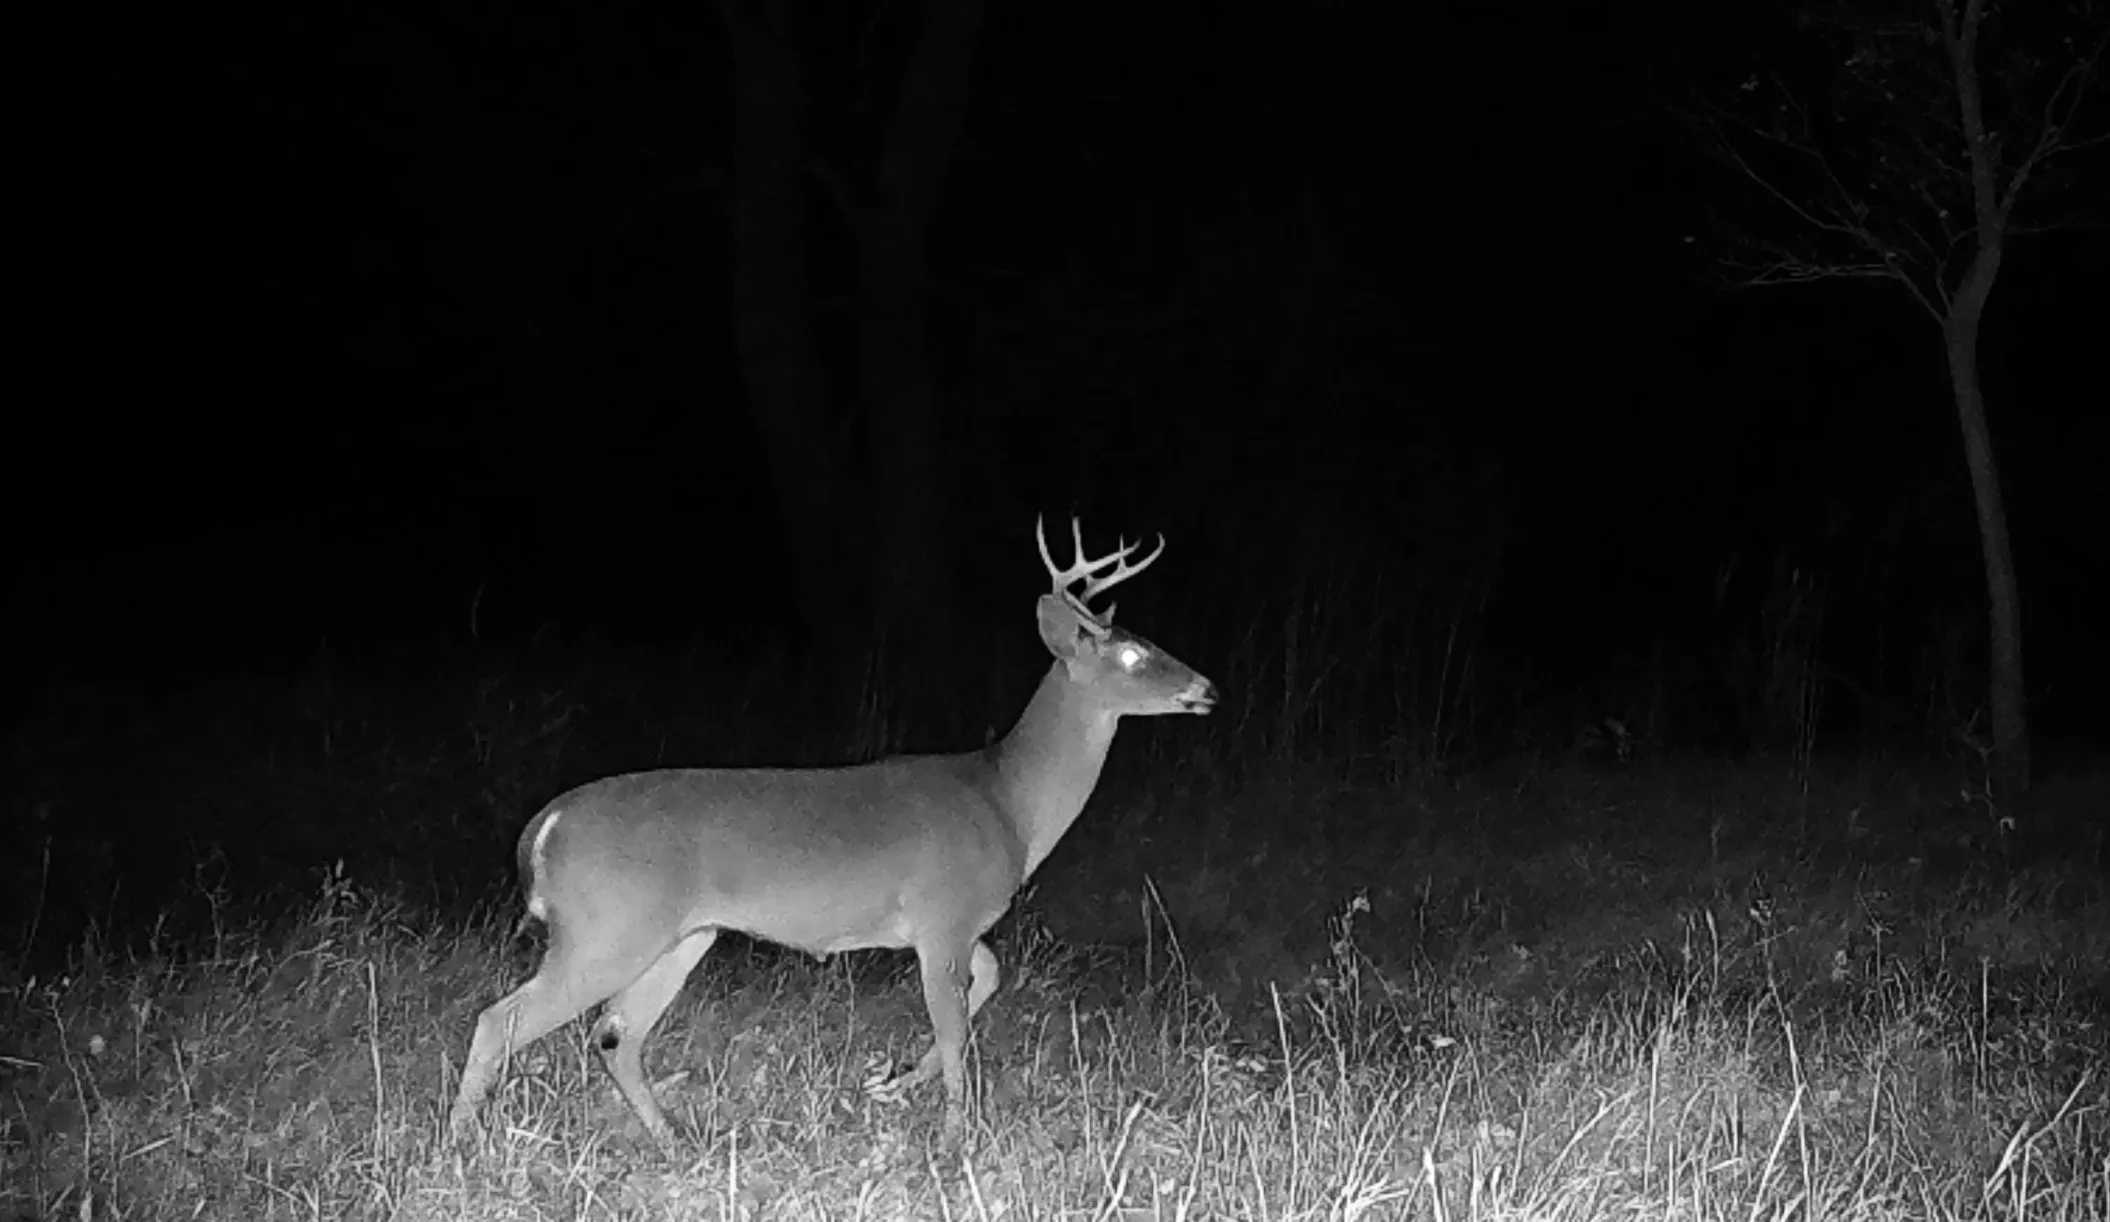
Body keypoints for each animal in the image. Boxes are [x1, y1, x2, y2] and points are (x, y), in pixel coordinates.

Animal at [447, 516, 1216, 1149]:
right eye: (1132, 657)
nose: (1206, 688)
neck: (1007, 803)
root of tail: (545, 826)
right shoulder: (942, 914)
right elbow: (953, 1022)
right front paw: (955, 1134)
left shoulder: (953, 924)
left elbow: (990, 978)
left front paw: (896, 1083)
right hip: (608, 928)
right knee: (502, 1019)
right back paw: (460, 1142)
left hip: (679, 935)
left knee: (616, 1033)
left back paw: (673, 1141)